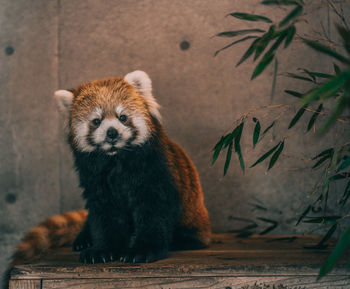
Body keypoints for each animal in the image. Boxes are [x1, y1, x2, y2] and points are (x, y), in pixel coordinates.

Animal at [4, 70, 211, 286]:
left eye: (123, 117)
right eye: (96, 121)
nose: (112, 132)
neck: (115, 159)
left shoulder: (154, 172)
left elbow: (153, 212)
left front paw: (143, 250)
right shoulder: (95, 181)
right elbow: (105, 216)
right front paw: (102, 250)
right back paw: (83, 239)